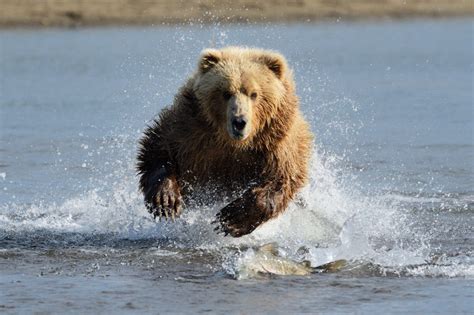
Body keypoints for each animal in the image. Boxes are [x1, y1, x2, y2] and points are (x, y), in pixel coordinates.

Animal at [137, 47, 312, 237]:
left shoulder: (276, 142)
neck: (232, 142)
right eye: (226, 93)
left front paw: (231, 219)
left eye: (254, 94)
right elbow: (159, 148)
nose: (239, 122)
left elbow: (281, 178)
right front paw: (166, 200)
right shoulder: (190, 128)